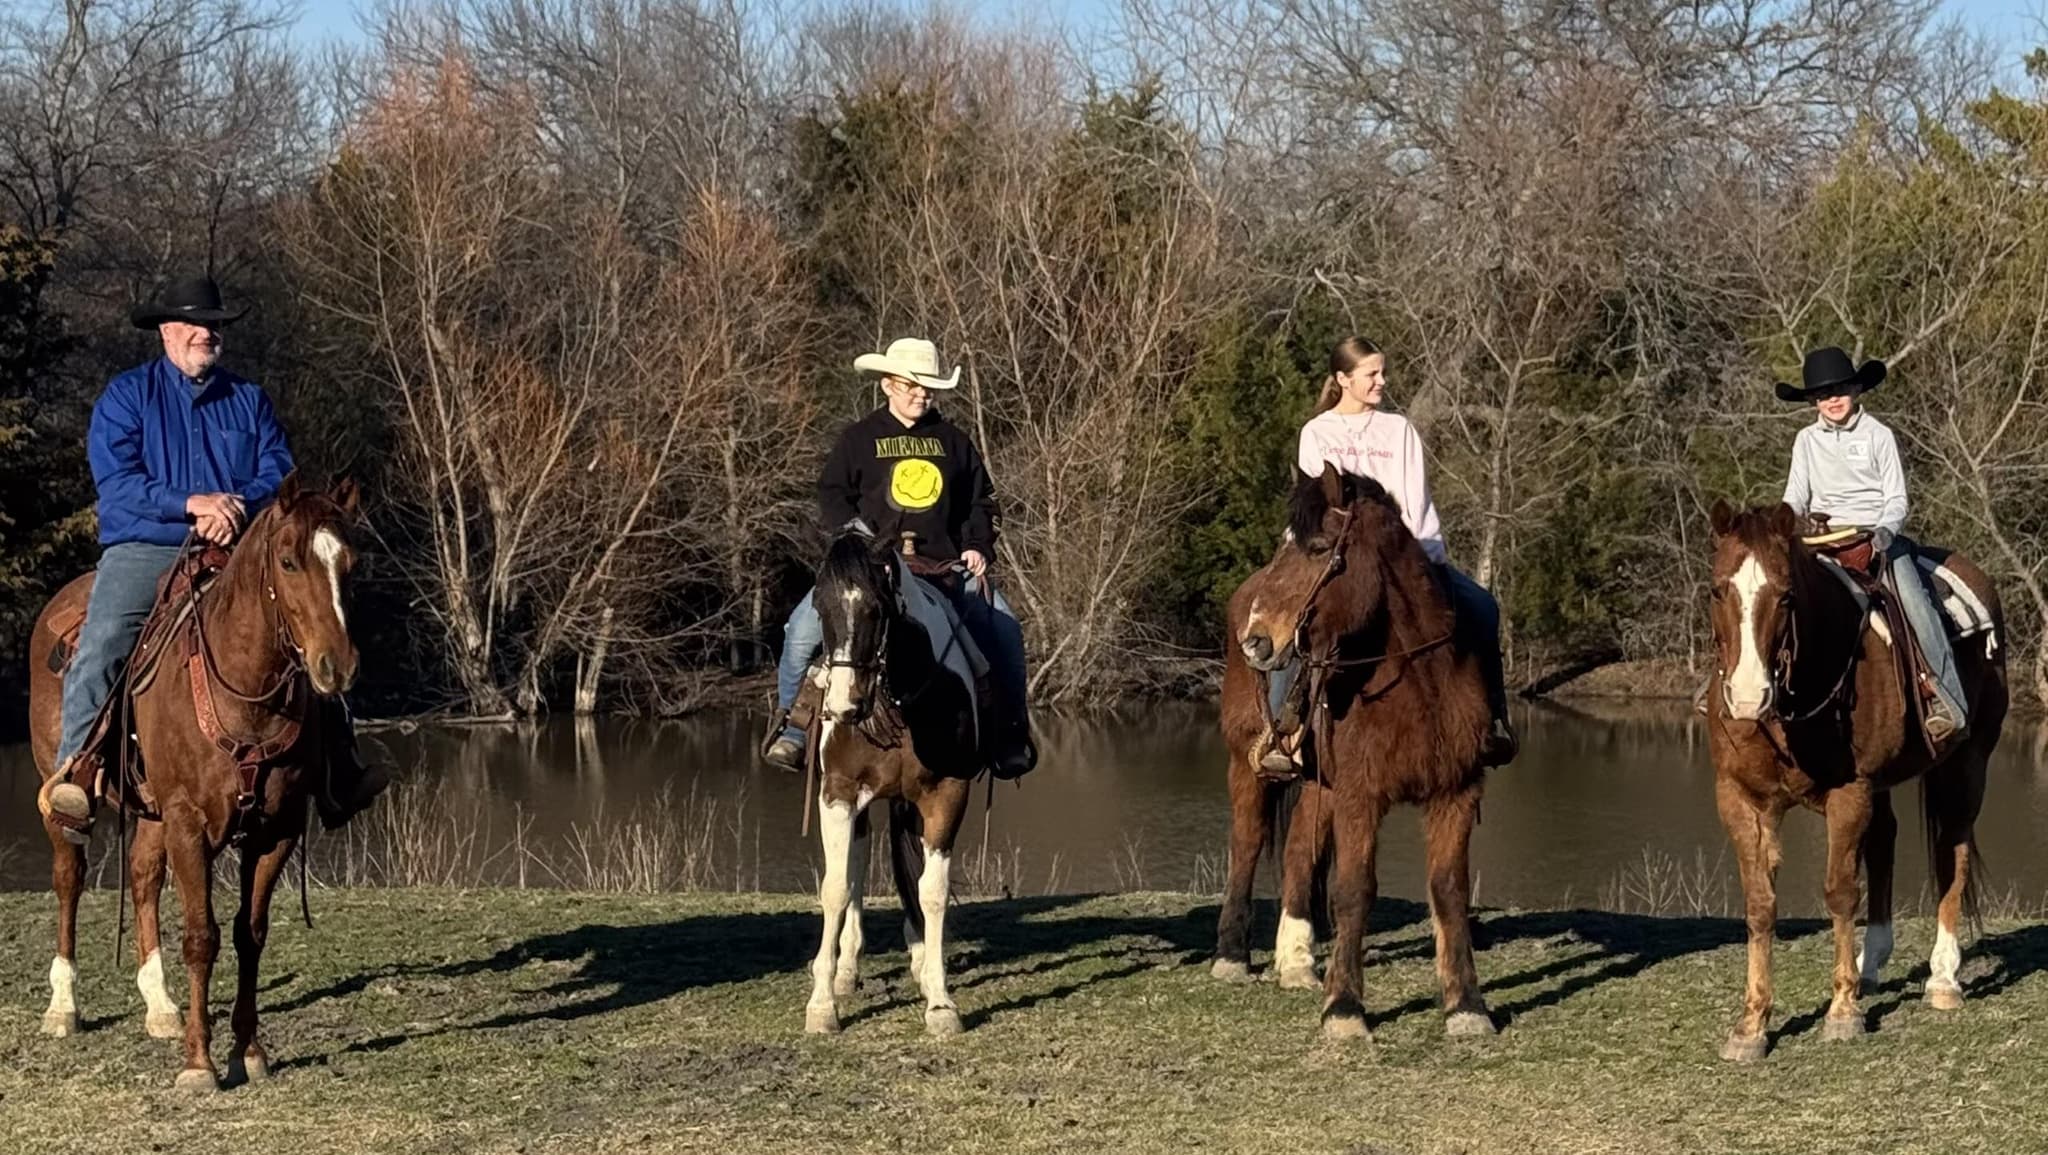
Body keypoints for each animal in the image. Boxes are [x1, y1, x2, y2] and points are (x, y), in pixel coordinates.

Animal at [26, 475, 364, 1091]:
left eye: (349, 562)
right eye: (288, 561)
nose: (338, 666)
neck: (245, 695)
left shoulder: (275, 830)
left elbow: (249, 934)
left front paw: (247, 1052)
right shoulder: (189, 824)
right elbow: (202, 936)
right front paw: (199, 1064)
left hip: (153, 812)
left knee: (142, 878)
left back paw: (160, 1007)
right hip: (62, 795)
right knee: (69, 878)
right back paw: (63, 1007)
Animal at [802, 526, 979, 1037]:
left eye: (875, 609)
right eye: (819, 606)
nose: (843, 707)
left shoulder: (947, 793)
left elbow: (931, 891)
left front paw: (940, 1002)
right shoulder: (838, 793)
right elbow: (836, 887)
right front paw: (822, 1004)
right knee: (857, 866)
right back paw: (846, 969)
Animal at [1218, 465, 1498, 1040]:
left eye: (1320, 548)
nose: (1257, 639)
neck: (1420, 680)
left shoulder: (1456, 793)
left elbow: (1449, 891)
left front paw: (1466, 1006)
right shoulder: (1360, 796)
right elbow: (1353, 890)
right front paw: (1345, 1009)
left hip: (1318, 782)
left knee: (1298, 851)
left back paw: (1296, 963)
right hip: (1247, 765)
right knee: (1248, 842)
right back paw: (1232, 956)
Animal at [1705, 501, 2006, 1061]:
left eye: (1786, 595)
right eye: (1717, 590)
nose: (1749, 696)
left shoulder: (1849, 793)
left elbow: (1841, 891)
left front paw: (1842, 1012)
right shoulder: (1741, 799)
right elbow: (1760, 904)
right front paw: (1751, 1024)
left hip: (1968, 760)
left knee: (1951, 851)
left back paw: (1943, 979)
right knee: (1885, 842)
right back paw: (1872, 964)